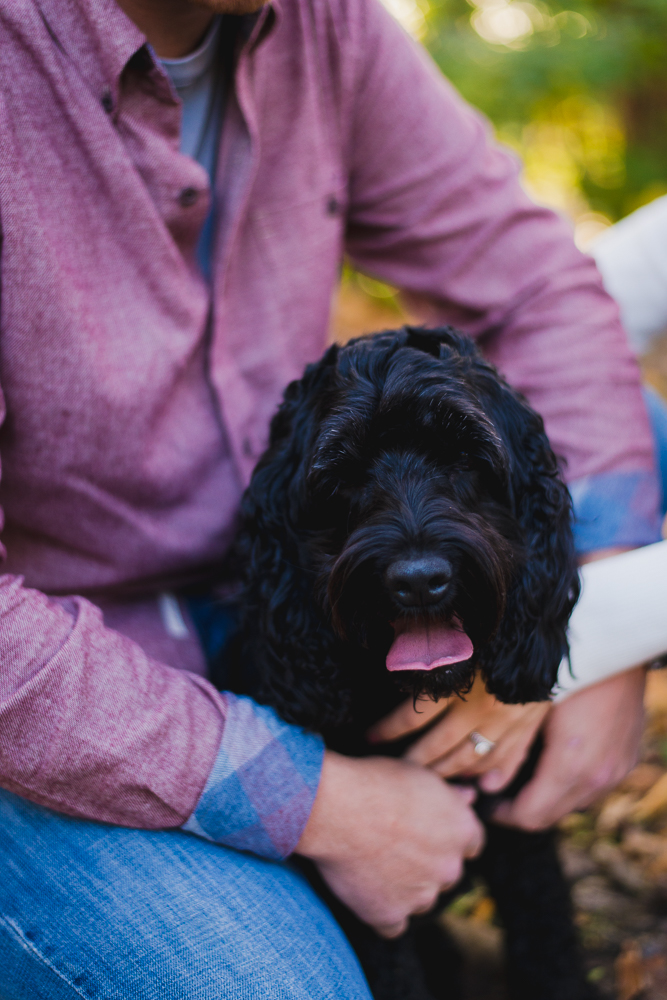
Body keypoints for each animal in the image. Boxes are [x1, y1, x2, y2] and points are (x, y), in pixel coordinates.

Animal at [228, 328, 596, 1000]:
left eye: (465, 456)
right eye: (342, 474)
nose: (420, 580)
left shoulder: (521, 838)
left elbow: (550, 942)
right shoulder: (371, 907)